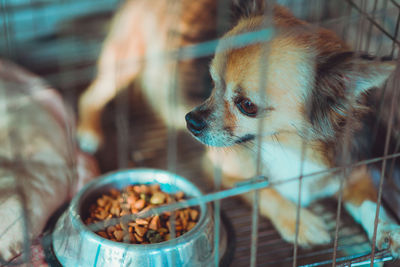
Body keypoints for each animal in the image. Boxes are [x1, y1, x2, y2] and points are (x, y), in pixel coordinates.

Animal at [78, 0, 400, 256]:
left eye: (247, 105)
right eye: (212, 82)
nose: (190, 121)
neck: (287, 144)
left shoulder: (352, 171)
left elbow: (372, 202)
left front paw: (389, 230)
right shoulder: (221, 169)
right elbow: (265, 189)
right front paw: (300, 221)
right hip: (124, 62)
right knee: (91, 95)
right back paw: (89, 132)